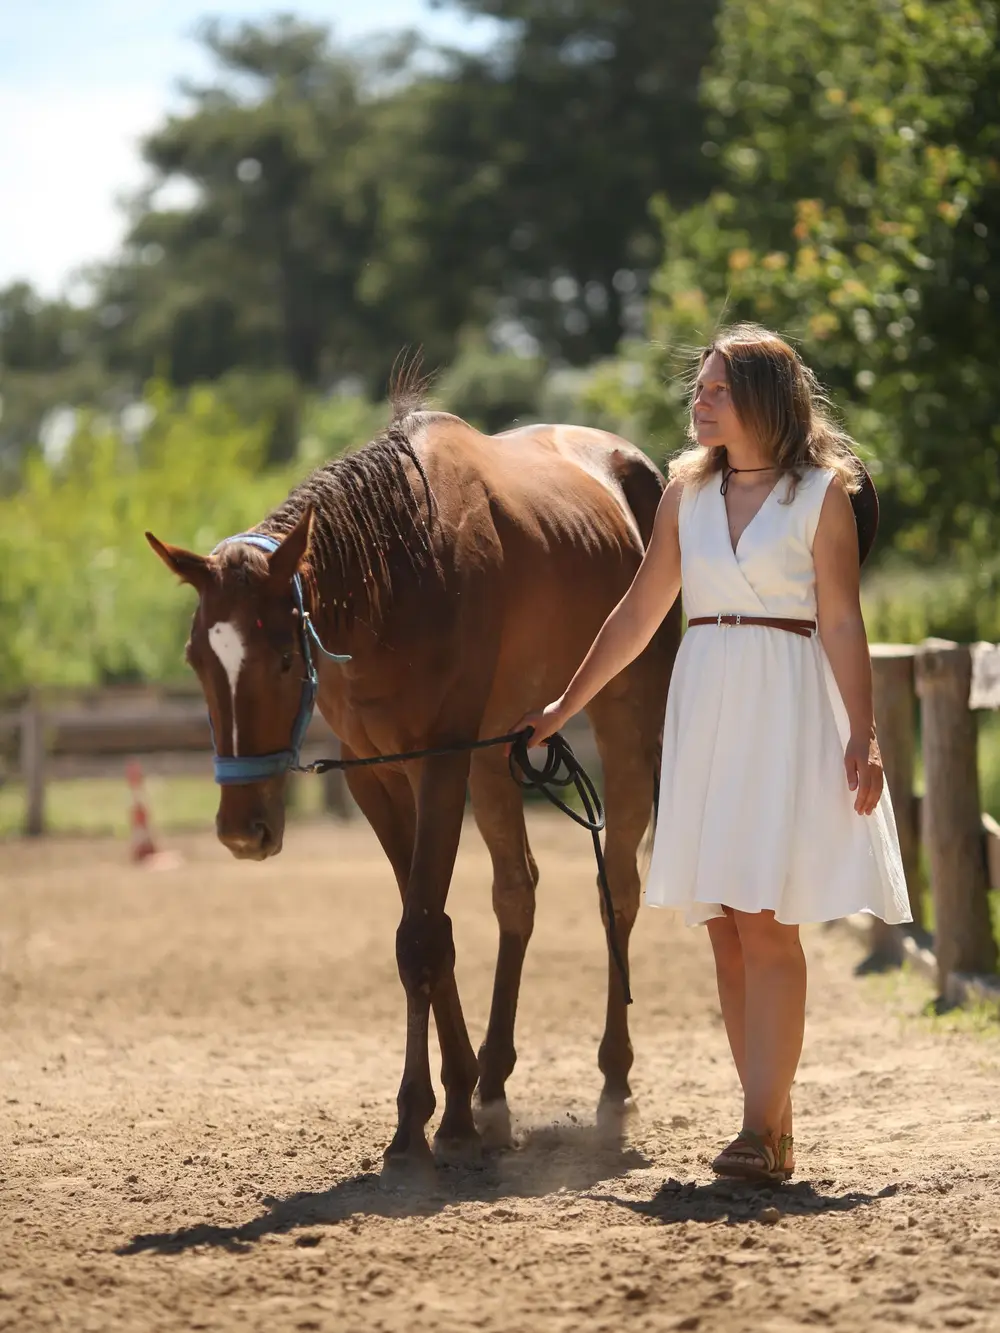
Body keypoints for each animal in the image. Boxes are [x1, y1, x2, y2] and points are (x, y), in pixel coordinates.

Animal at [146, 388, 681, 1173]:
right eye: (196, 659)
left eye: (283, 658)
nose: (243, 830)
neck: (402, 570)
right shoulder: (378, 776)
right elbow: (430, 928)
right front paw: (446, 1103)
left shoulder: (442, 762)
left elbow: (422, 935)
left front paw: (435, 1122)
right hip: (500, 756)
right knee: (516, 893)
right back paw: (495, 1085)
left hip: (623, 725)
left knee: (618, 889)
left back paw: (613, 1083)